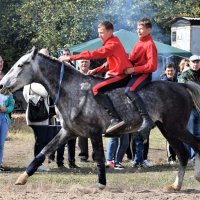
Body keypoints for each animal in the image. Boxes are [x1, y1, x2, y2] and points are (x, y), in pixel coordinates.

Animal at [0, 48, 200, 191]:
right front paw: (22, 178)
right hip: (167, 129)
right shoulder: (67, 132)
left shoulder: (93, 132)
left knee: (194, 146)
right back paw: (176, 186)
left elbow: (99, 158)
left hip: (175, 127)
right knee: (183, 154)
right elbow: (43, 151)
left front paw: (101, 183)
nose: (2, 84)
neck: (73, 90)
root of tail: (181, 86)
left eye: (21, 65)